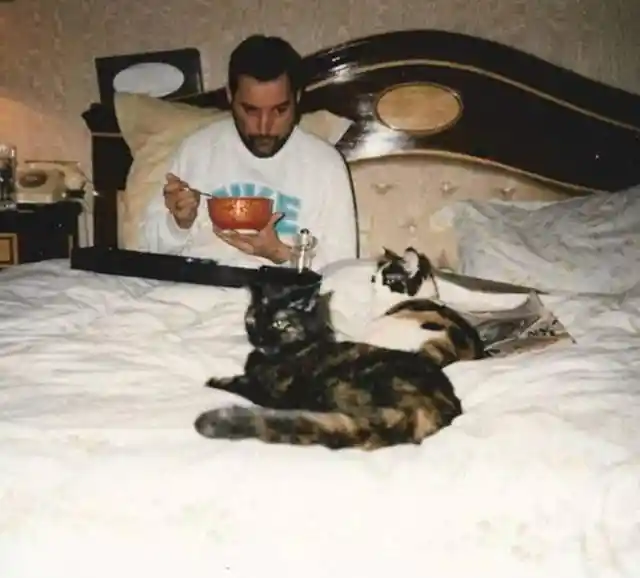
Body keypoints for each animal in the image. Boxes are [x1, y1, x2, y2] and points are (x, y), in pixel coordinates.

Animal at [194, 274, 464, 450]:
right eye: (252, 319)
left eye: (279, 323)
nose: (258, 338)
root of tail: (416, 415)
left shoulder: (269, 391)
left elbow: (235, 382)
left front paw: (213, 381)